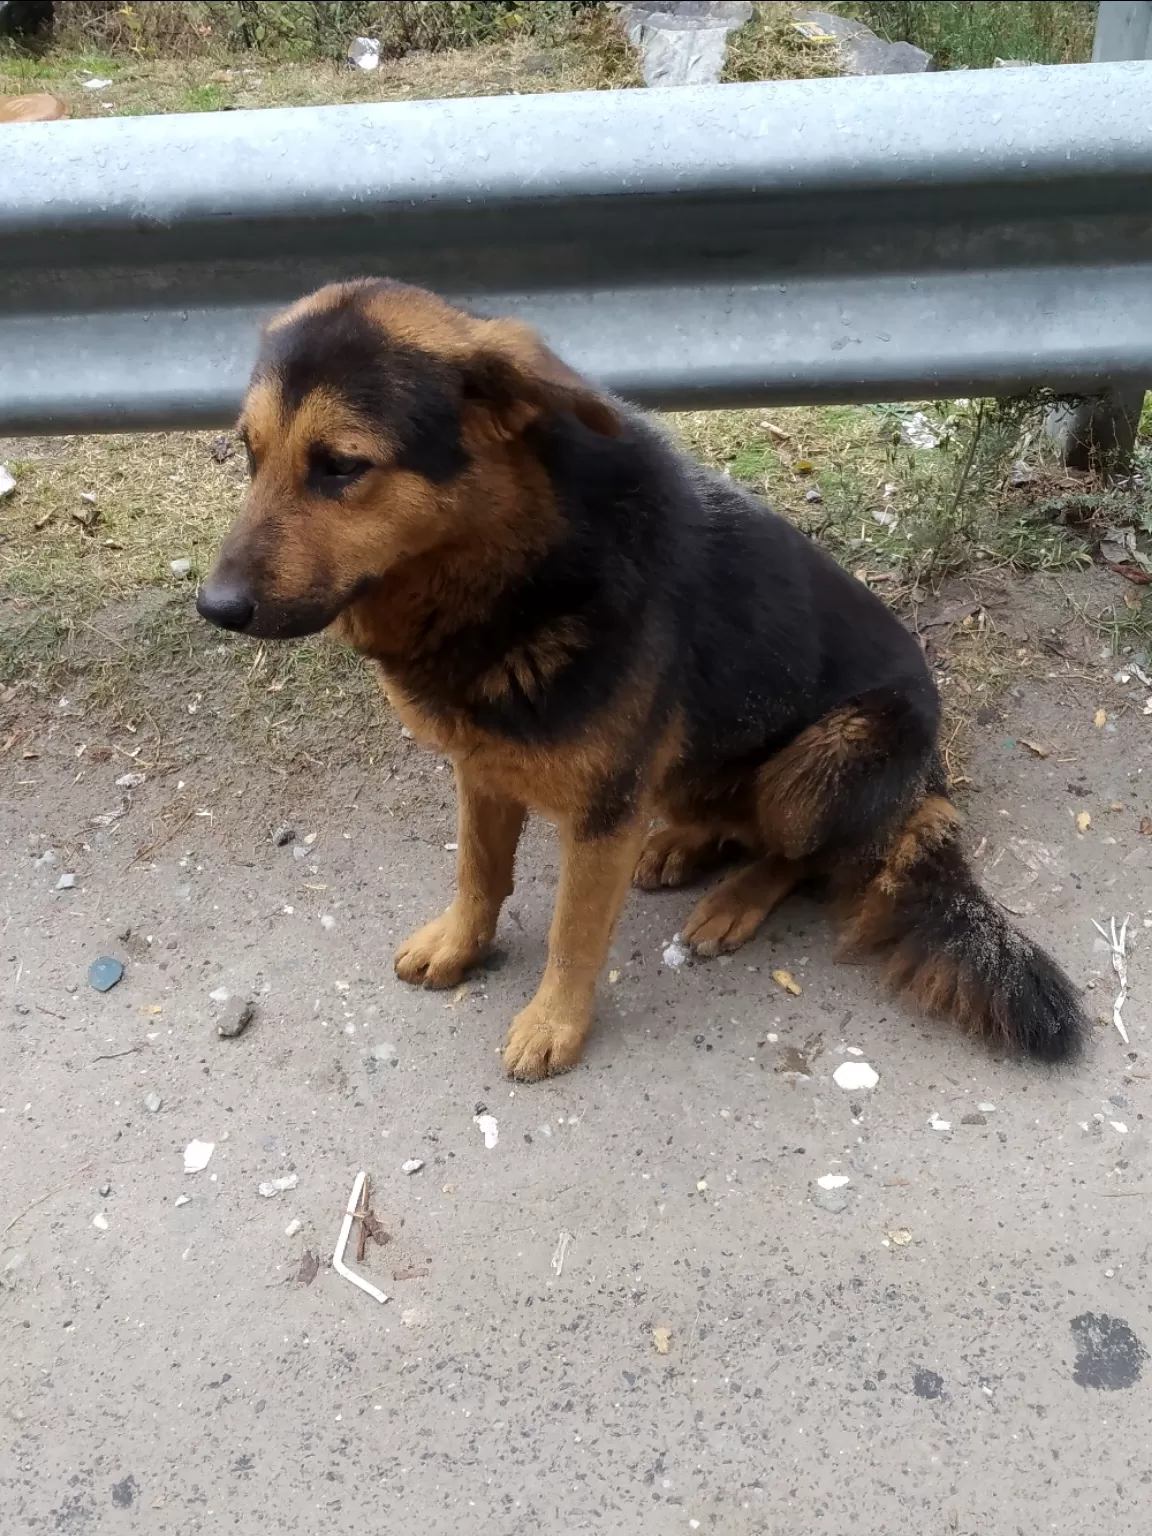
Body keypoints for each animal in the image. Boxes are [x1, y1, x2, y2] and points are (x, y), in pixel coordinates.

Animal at [194, 282, 1087, 1087]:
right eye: (249, 454)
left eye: (342, 465)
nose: (216, 608)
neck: (517, 568)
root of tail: (930, 786)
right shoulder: (483, 769)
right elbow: (479, 873)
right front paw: (461, 945)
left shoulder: (599, 813)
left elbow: (573, 934)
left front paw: (555, 1023)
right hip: (695, 774)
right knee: (731, 820)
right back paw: (683, 844)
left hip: (826, 757)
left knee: (801, 856)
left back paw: (734, 898)